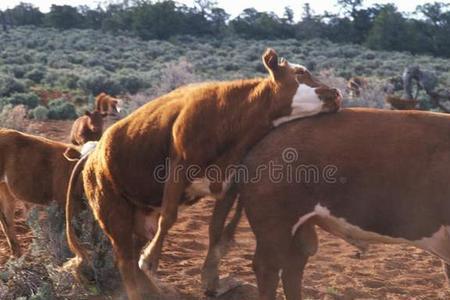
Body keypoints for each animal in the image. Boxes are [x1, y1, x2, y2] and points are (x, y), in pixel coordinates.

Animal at [65, 48, 342, 298]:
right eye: (300, 73)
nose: (337, 93)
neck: (230, 117)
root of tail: (92, 154)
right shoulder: (178, 169)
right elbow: (169, 217)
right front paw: (151, 259)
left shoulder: (228, 185)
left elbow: (215, 229)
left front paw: (210, 277)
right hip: (112, 211)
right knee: (124, 259)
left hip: (139, 215)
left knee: (132, 253)